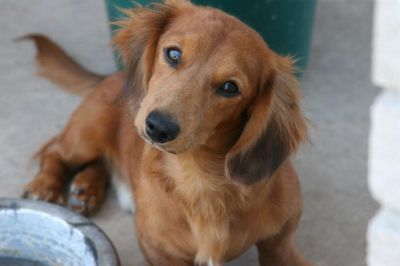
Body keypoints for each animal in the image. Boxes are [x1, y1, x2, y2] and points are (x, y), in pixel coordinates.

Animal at [21, 1, 310, 264]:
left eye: (230, 87)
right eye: (173, 53)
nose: (158, 127)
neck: (202, 181)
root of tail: (110, 75)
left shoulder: (282, 236)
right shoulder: (157, 249)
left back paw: (86, 188)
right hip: (86, 135)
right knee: (54, 150)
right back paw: (45, 186)